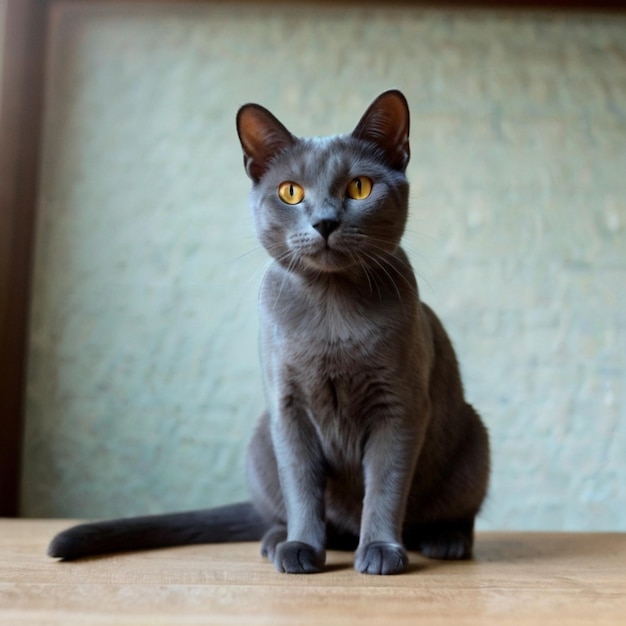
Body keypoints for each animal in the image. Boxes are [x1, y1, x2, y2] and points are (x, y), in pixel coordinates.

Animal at [48, 90, 488, 572]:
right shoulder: (288, 408)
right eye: (291, 192)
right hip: (262, 437)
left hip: (473, 440)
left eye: (359, 187)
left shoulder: (400, 408)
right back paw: (278, 541)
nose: (325, 221)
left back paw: (444, 540)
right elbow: (300, 486)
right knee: (282, 511)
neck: (332, 308)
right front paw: (302, 549)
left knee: (458, 512)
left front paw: (380, 552)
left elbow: (385, 487)